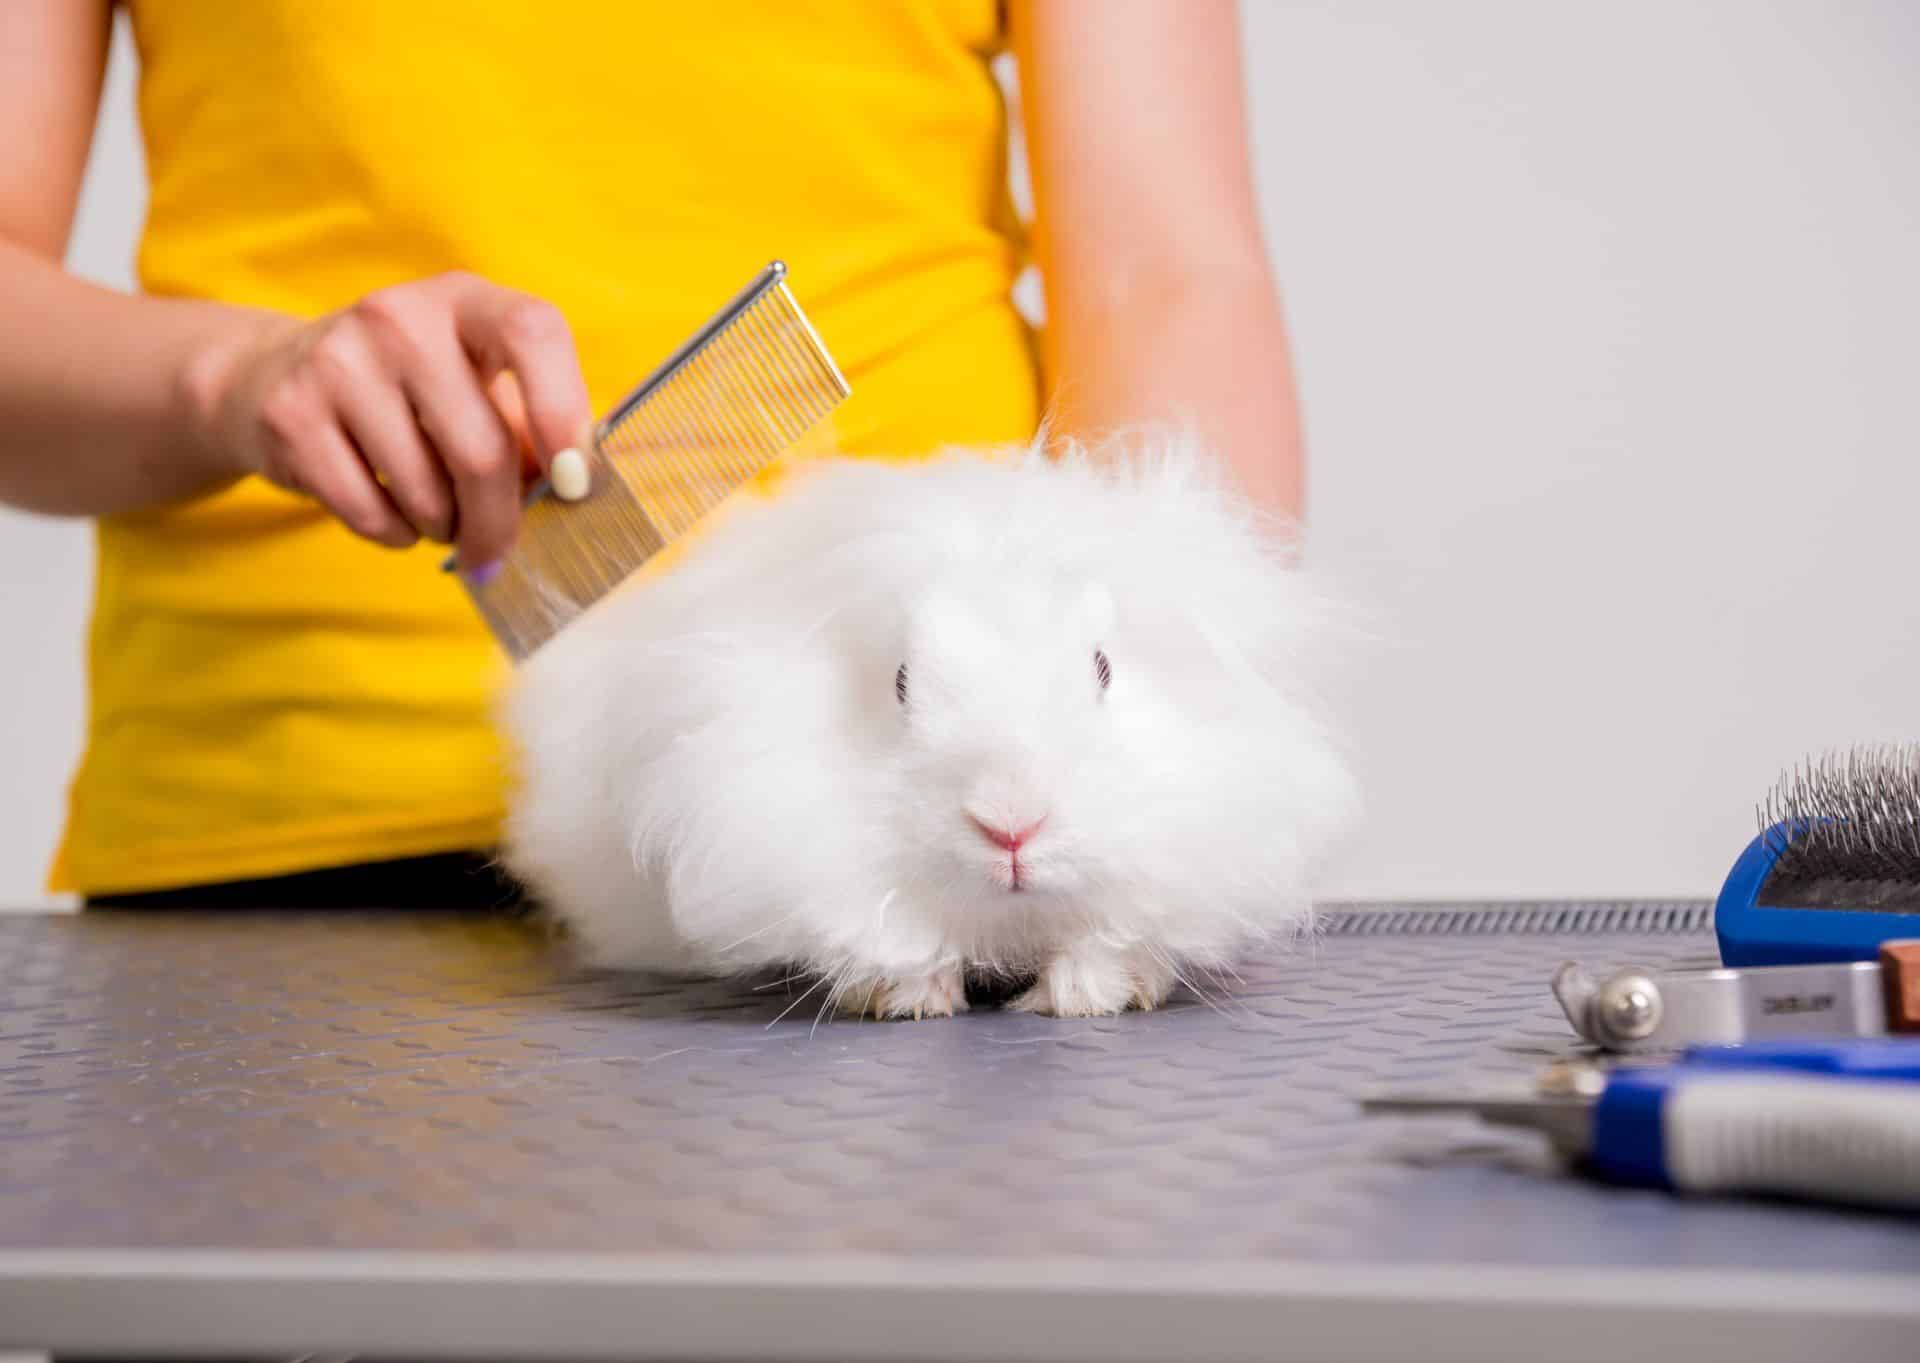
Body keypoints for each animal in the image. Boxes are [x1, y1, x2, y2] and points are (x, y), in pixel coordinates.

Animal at [498, 426, 1358, 1018]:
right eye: (902, 683)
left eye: (1104, 668)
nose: (1011, 826)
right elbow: (888, 936)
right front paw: (915, 998)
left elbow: (1111, 935)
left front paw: (1088, 995)